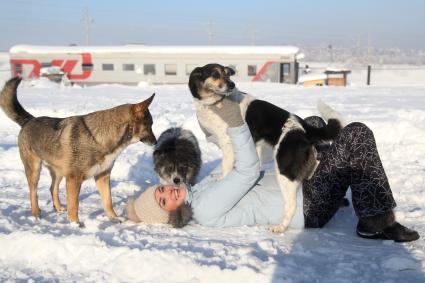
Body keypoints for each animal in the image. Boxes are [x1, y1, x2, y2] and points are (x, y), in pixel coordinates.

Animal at [0, 77, 156, 226]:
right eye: (149, 125)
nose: (155, 142)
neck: (98, 138)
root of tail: (29, 120)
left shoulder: (102, 176)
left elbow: (108, 202)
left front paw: (115, 218)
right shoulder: (74, 179)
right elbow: (74, 205)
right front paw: (75, 223)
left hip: (58, 172)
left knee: (52, 188)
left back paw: (58, 208)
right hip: (35, 170)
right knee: (33, 192)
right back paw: (36, 214)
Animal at [189, 63, 344, 233]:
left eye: (227, 74)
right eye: (215, 74)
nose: (232, 85)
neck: (215, 104)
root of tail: (301, 125)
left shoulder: (227, 143)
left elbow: (226, 167)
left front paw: (222, 179)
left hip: (284, 172)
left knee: (291, 205)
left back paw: (280, 227)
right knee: (315, 165)